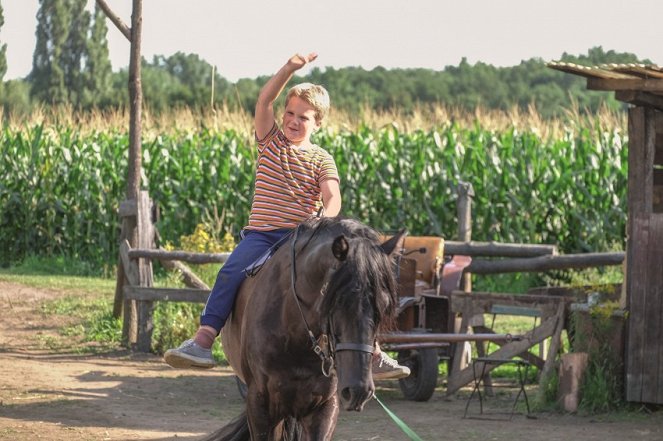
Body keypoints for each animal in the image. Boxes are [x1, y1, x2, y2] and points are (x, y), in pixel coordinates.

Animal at [205, 217, 408, 440]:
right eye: (338, 300)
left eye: (384, 304)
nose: (358, 391)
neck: (294, 334)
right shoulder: (260, 404)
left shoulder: (325, 406)